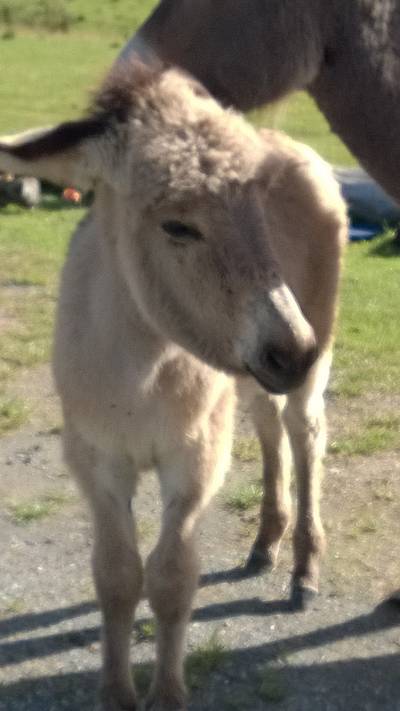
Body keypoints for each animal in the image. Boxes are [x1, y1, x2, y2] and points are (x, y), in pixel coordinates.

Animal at [0, 62, 347, 709]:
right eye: (178, 226)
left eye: (260, 215)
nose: (292, 349)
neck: (139, 373)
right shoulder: (96, 461)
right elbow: (116, 576)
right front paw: (117, 694)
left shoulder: (193, 461)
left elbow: (170, 578)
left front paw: (164, 695)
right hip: (251, 375)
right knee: (268, 425)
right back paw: (265, 544)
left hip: (312, 339)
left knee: (303, 431)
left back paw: (303, 571)